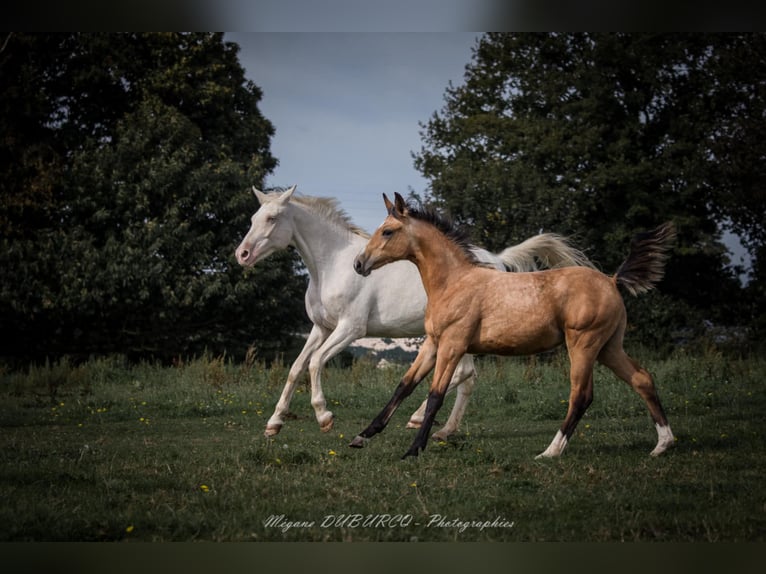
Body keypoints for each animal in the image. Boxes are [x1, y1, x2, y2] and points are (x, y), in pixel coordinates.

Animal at [235, 185, 595, 439]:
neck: (331, 264)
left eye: (272, 219)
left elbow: (314, 363)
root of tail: (495, 259)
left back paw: (419, 418)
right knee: (467, 379)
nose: (242, 254)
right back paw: (443, 429)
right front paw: (274, 423)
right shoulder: (321, 328)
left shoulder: (350, 330)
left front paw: (324, 417)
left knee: (464, 376)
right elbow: (296, 368)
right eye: (253, 219)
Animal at [351, 192, 676, 459]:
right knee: (642, 378)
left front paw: (413, 450)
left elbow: (435, 395)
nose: (358, 264)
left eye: (388, 231)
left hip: (584, 345)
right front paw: (362, 437)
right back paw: (663, 444)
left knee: (581, 395)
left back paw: (550, 452)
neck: (454, 282)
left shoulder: (453, 344)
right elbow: (403, 386)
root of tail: (611, 280)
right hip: (609, 347)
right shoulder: (433, 343)